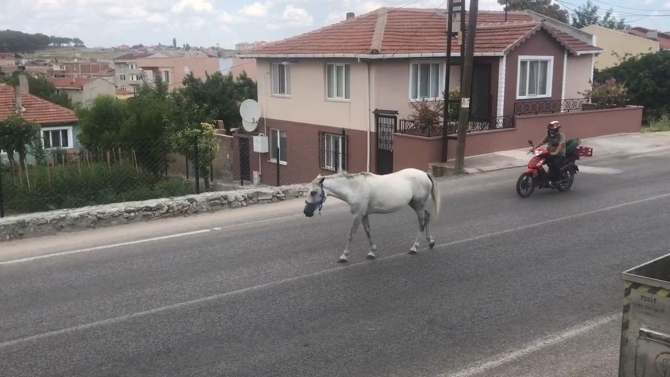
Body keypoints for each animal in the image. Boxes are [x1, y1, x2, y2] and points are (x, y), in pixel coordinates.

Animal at [304, 167, 440, 262]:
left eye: (313, 192)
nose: (306, 212)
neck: (355, 188)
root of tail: (425, 174)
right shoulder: (364, 215)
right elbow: (368, 232)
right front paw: (372, 252)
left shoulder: (357, 215)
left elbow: (351, 235)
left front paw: (344, 256)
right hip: (415, 204)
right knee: (427, 217)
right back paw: (431, 242)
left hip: (419, 205)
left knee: (421, 224)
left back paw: (414, 248)